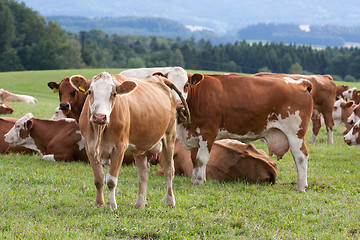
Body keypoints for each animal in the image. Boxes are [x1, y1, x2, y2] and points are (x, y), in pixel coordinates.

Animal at [69, 72, 190, 209]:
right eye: (90, 91)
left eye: (114, 94)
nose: (99, 117)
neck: (99, 130)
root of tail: (160, 78)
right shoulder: (90, 148)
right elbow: (98, 179)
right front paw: (99, 204)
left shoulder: (119, 148)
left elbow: (111, 180)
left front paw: (112, 205)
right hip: (140, 146)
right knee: (143, 174)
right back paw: (140, 203)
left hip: (169, 136)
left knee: (169, 170)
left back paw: (170, 201)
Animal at [177, 73, 312, 193]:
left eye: (186, 85)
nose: (178, 103)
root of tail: (301, 82)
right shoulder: (194, 136)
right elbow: (194, 159)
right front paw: (196, 179)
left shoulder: (207, 132)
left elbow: (201, 158)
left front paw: (199, 181)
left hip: (295, 134)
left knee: (301, 156)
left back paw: (300, 187)